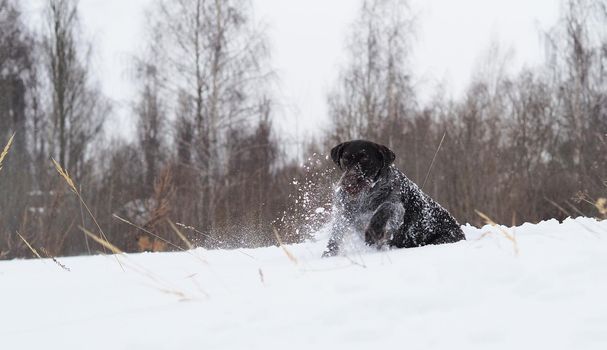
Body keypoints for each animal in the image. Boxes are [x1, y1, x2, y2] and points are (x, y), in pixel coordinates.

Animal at [324, 139, 466, 258]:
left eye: (365, 159)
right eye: (345, 159)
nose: (349, 183)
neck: (366, 195)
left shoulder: (397, 209)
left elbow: (385, 208)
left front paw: (373, 231)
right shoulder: (344, 214)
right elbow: (335, 237)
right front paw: (328, 255)